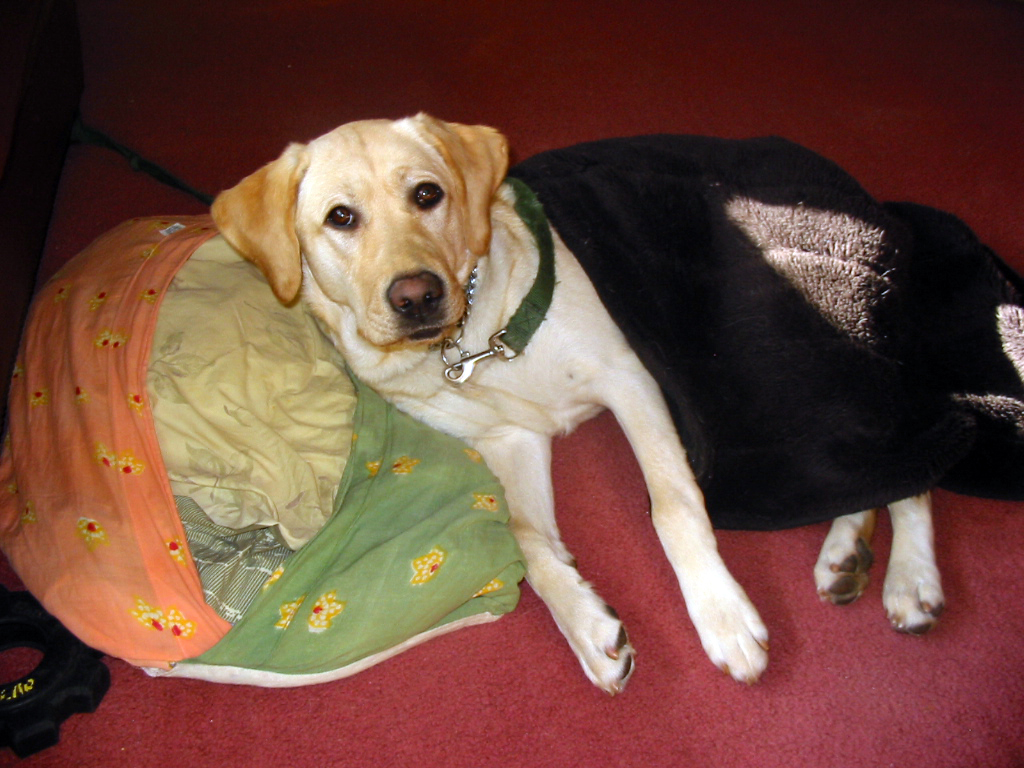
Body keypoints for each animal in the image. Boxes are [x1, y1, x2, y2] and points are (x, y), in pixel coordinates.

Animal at [209, 115, 1007, 696]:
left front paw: (721, 616)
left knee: (925, 446)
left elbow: (672, 506)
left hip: (795, 358)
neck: (476, 342)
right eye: (340, 218)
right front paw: (587, 624)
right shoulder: (511, 443)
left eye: (428, 195)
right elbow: (527, 542)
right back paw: (849, 550)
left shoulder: (630, 379)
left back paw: (911, 576)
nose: (417, 296)